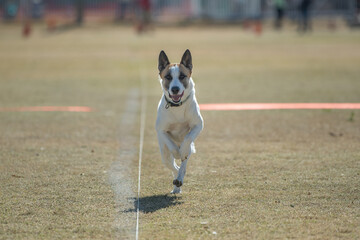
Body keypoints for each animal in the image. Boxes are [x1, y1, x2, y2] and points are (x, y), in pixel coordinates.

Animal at [156, 49, 204, 194]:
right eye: (168, 77)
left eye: (182, 76)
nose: (175, 89)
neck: (177, 106)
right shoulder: (161, 130)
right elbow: (171, 144)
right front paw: (177, 152)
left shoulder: (198, 125)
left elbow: (187, 138)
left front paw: (181, 151)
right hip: (164, 154)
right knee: (173, 166)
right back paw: (177, 182)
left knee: (184, 162)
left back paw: (180, 177)